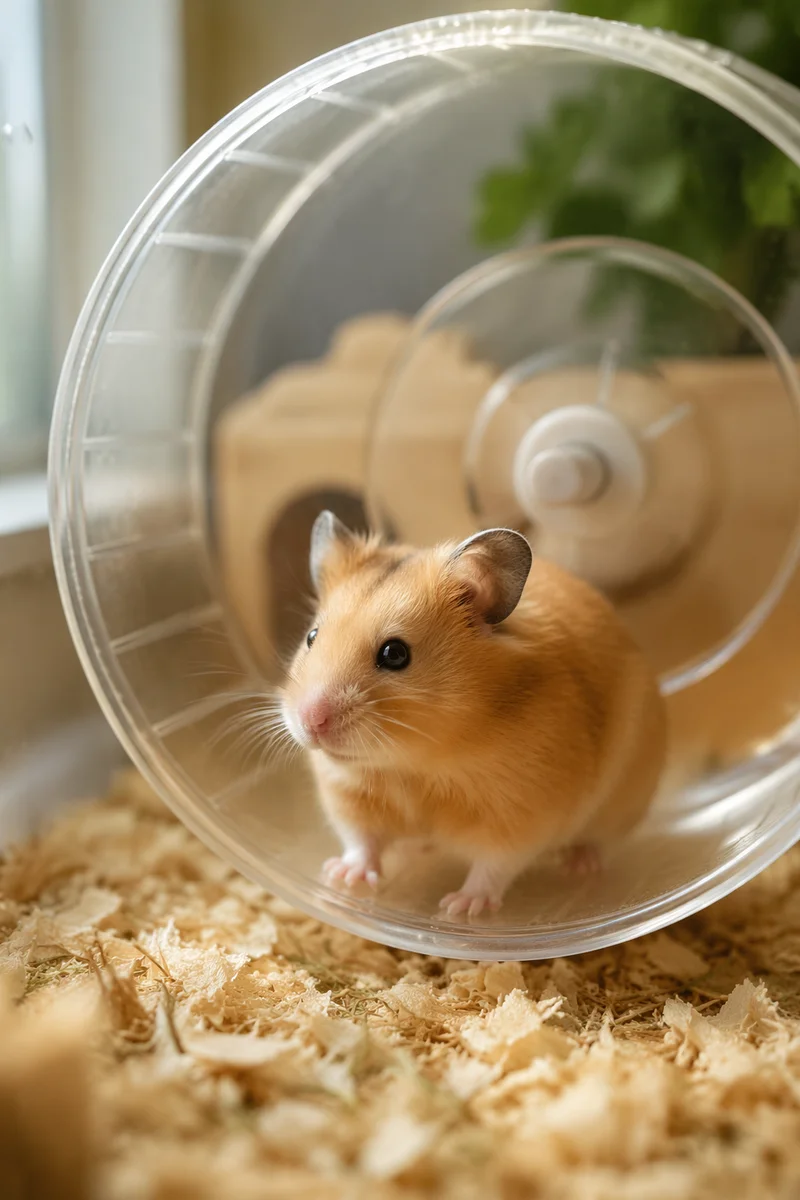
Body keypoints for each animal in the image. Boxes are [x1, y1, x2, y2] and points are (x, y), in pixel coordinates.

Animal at [279, 511, 667, 918]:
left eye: (395, 654)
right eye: (311, 637)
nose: (310, 721)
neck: (412, 764)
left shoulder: (523, 810)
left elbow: (494, 865)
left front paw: (459, 908)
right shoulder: (347, 796)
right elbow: (361, 841)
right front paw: (342, 878)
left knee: (599, 841)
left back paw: (581, 866)